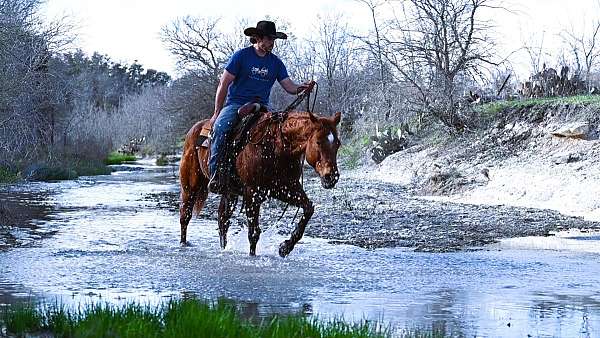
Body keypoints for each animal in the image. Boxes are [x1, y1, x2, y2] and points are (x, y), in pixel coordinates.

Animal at [178, 111, 340, 256]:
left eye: (337, 144)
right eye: (318, 141)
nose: (331, 176)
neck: (277, 147)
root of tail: (195, 129)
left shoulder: (285, 189)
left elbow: (308, 208)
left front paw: (285, 247)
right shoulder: (252, 193)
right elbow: (254, 233)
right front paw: (253, 256)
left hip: (229, 193)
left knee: (222, 220)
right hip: (190, 186)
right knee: (185, 215)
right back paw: (183, 244)